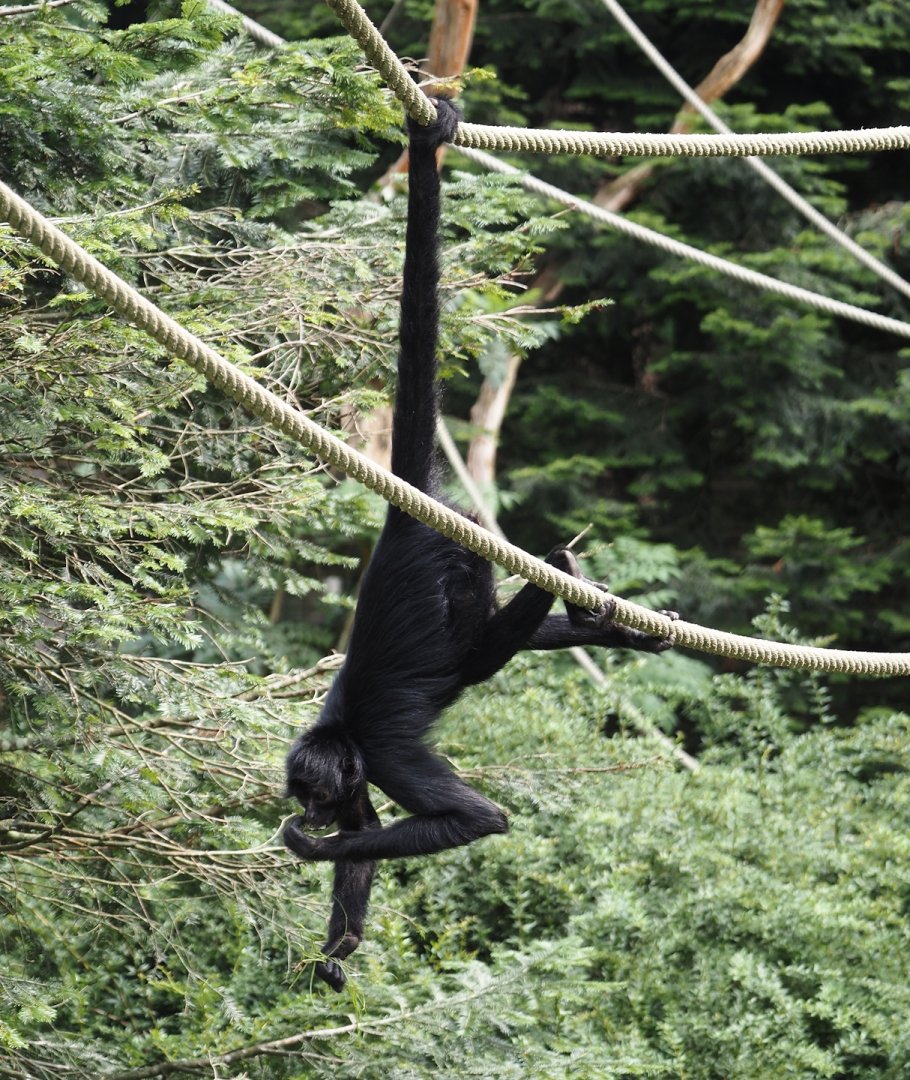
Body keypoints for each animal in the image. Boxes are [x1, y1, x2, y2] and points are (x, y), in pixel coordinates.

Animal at [284, 98, 677, 991]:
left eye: (311, 798)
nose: (311, 811)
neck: (344, 728)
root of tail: (401, 523)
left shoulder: (384, 752)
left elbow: (478, 819)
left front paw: (311, 849)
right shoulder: (354, 760)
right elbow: (364, 849)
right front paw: (334, 952)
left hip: (458, 577)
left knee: (481, 650)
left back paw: (558, 579)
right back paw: (603, 625)